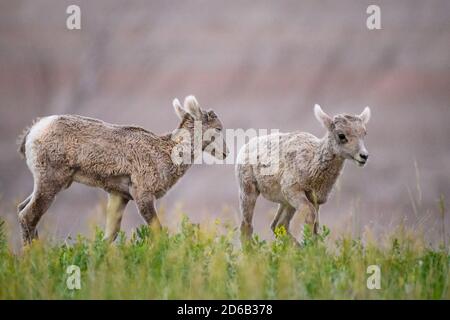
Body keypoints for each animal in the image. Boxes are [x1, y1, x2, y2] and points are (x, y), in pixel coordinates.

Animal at [17, 95, 229, 245]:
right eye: (218, 128)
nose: (226, 153)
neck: (165, 152)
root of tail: (34, 130)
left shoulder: (119, 196)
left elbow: (109, 237)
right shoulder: (142, 195)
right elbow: (158, 232)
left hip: (47, 183)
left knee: (22, 210)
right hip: (50, 182)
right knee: (28, 216)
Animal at [236, 105, 370, 242]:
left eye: (364, 133)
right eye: (341, 135)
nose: (364, 156)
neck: (311, 164)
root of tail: (245, 147)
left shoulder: (315, 200)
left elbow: (316, 227)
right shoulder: (294, 191)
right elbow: (310, 214)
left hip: (285, 203)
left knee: (278, 225)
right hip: (248, 192)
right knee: (247, 226)